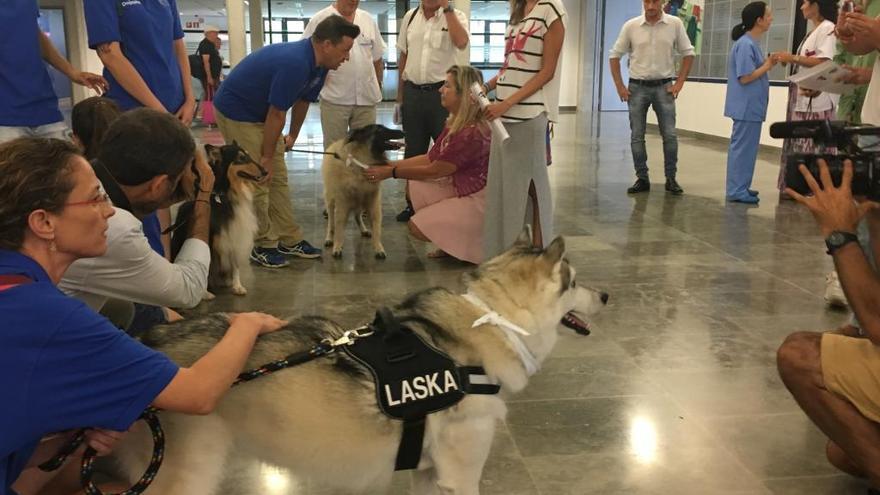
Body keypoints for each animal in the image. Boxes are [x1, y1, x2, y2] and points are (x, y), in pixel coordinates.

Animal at [117, 231, 608, 494]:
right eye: (575, 282)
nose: (606, 294)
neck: (493, 317)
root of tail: (148, 340)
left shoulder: (430, 474)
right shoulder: (461, 474)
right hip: (187, 475)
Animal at [172, 141, 266, 300]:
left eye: (248, 155)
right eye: (241, 158)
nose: (265, 171)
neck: (225, 195)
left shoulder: (234, 234)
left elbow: (235, 265)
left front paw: (237, 286)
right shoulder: (209, 239)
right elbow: (205, 264)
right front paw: (204, 293)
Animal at [324, 124, 406, 260]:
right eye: (379, 130)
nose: (403, 132)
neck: (362, 162)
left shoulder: (372, 201)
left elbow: (376, 227)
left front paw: (378, 248)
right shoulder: (342, 204)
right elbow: (339, 227)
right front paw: (337, 246)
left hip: (360, 201)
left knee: (357, 216)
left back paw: (363, 230)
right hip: (331, 200)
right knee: (331, 222)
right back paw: (329, 238)